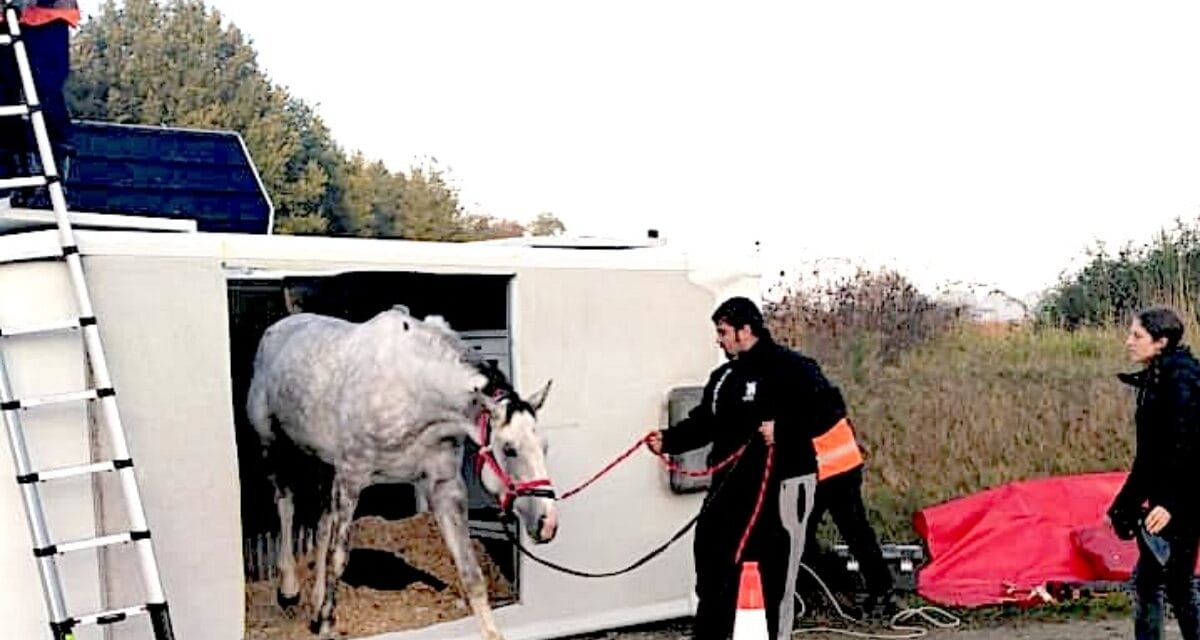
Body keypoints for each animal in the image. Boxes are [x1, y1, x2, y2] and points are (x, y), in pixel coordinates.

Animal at [245, 306, 557, 639]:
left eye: (544, 446)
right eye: (510, 449)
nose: (547, 523)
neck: (414, 389)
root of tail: (279, 328)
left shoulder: (444, 486)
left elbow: (470, 571)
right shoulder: (351, 477)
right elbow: (338, 557)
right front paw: (328, 624)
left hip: (323, 462)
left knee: (322, 522)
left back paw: (314, 607)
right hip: (274, 447)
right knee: (286, 507)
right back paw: (289, 590)